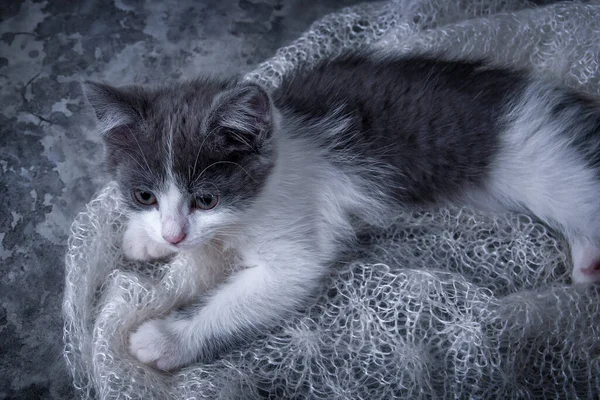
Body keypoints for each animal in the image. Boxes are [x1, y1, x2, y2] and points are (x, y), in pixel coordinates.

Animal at [83, 51, 600, 370]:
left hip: (545, 164)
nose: (172, 235)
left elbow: (253, 293)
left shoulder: (297, 235)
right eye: (144, 196)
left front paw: (168, 338)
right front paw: (145, 238)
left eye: (206, 198)